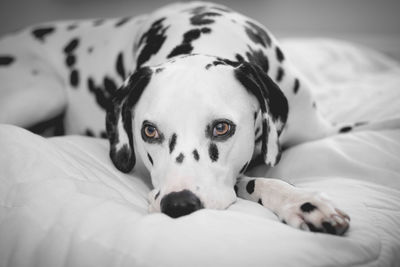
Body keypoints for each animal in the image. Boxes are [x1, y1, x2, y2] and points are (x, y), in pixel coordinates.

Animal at [0, 1, 356, 236]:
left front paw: (302, 200)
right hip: (43, 92)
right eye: (149, 131)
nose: (178, 204)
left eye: (222, 128)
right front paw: (299, 200)